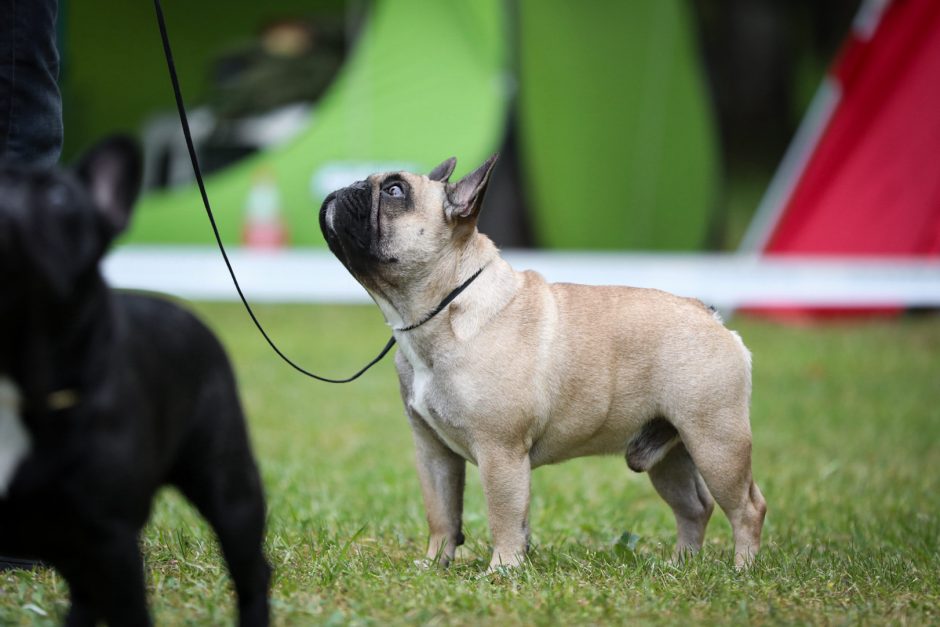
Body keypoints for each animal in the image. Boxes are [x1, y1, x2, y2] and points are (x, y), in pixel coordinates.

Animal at [319, 155, 767, 571]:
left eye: (395, 191)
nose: (348, 187)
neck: (446, 306)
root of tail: (709, 315)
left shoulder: (500, 452)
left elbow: (504, 516)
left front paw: (502, 570)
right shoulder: (433, 452)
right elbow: (442, 514)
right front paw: (434, 565)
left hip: (715, 442)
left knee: (747, 507)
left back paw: (741, 569)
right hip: (669, 452)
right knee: (694, 506)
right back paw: (680, 565)